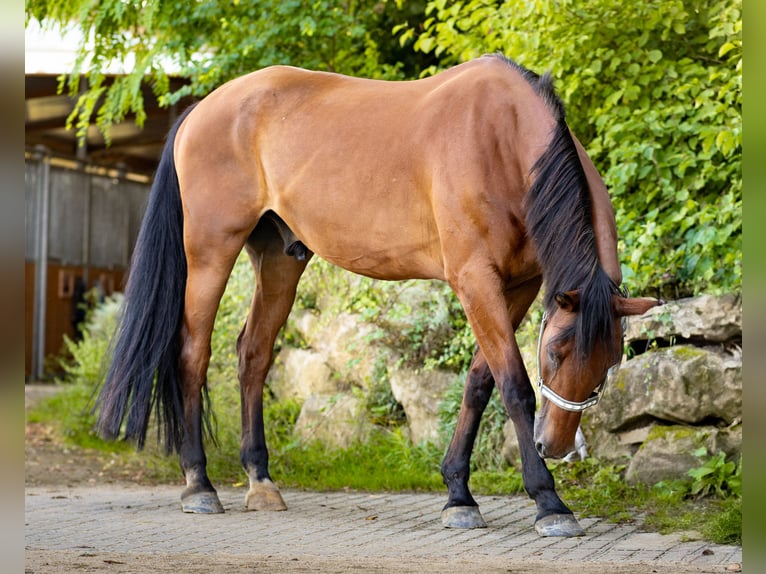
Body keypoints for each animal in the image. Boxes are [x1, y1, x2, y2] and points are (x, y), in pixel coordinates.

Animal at [94, 55, 660, 540]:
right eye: (556, 352)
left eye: (609, 363)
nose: (556, 445)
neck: (500, 140)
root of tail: (202, 109)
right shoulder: (475, 280)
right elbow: (514, 386)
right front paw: (549, 502)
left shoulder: (517, 285)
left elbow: (479, 382)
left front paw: (458, 493)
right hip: (211, 252)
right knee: (194, 352)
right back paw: (199, 484)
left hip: (279, 259)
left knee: (252, 354)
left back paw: (261, 481)